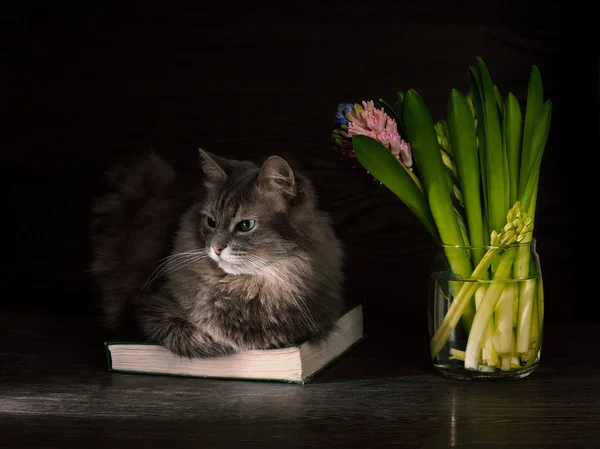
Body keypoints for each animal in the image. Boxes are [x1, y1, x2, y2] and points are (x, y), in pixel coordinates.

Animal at [86, 150, 344, 356]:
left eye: (246, 225)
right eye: (211, 222)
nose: (217, 248)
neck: (248, 286)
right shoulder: (148, 308)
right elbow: (199, 338)